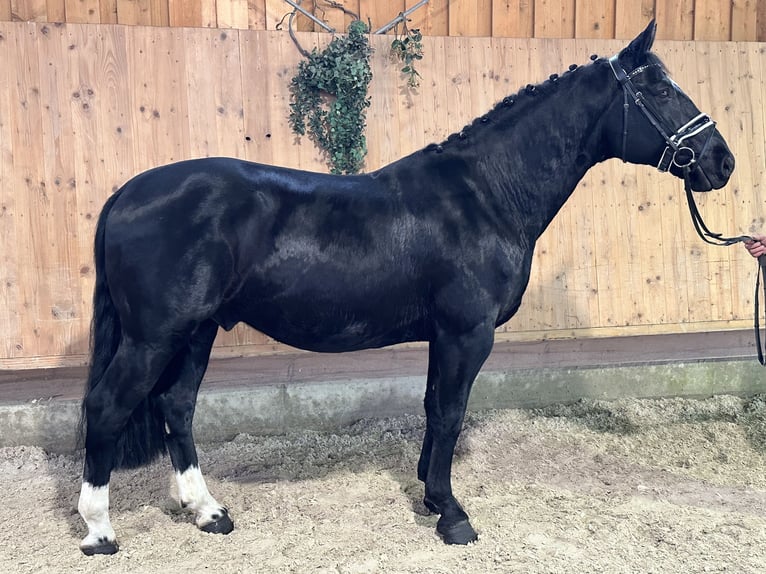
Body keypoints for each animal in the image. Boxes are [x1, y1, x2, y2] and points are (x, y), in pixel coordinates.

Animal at [78, 20, 736, 556]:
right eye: (659, 90)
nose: (722, 161)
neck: (486, 194)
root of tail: (125, 194)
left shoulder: (443, 335)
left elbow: (431, 406)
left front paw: (428, 492)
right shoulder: (466, 333)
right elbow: (449, 412)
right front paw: (452, 514)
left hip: (196, 331)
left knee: (176, 406)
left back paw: (207, 512)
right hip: (154, 337)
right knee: (107, 407)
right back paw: (99, 531)